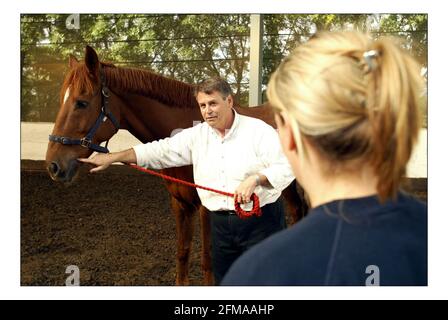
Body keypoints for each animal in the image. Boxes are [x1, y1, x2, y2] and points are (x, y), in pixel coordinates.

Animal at [44, 45, 308, 284]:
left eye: (81, 103)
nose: (53, 166)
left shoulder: (206, 208)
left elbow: (208, 261)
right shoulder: (180, 204)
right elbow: (183, 253)